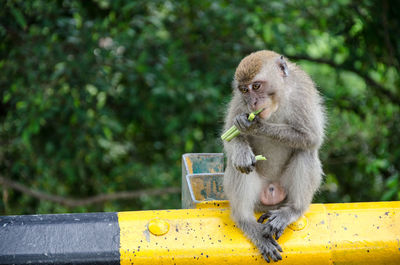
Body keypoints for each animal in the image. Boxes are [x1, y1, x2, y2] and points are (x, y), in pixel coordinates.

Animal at [222, 50, 324, 262]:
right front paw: (241, 141)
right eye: (244, 90)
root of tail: (271, 194)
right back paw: (246, 221)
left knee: (306, 151)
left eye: (256, 86)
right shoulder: (239, 101)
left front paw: (255, 125)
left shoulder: (303, 90)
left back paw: (293, 210)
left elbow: (312, 137)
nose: (253, 103)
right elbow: (230, 139)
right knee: (239, 165)